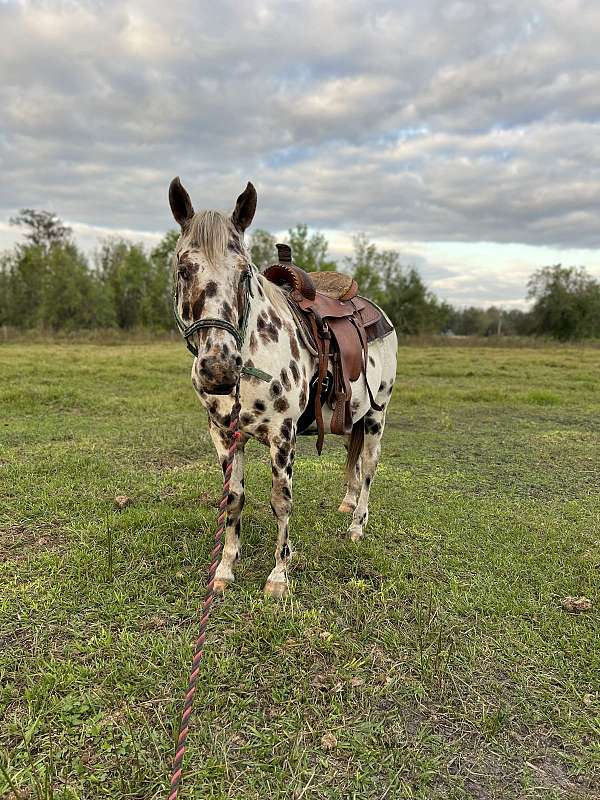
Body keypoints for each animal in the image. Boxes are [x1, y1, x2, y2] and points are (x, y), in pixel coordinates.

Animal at [168, 178, 398, 596]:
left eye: (244, 273)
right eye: (184, 268)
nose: (219, 367)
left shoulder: (283, 435)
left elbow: (281, 501)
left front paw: (279, 574)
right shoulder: (223, 435)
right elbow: (234, 499)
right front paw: (225, 568)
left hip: (377, 413)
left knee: (370, 464)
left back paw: (357, 525)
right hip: (349, 418)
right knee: (353, 456)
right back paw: (347, 502)